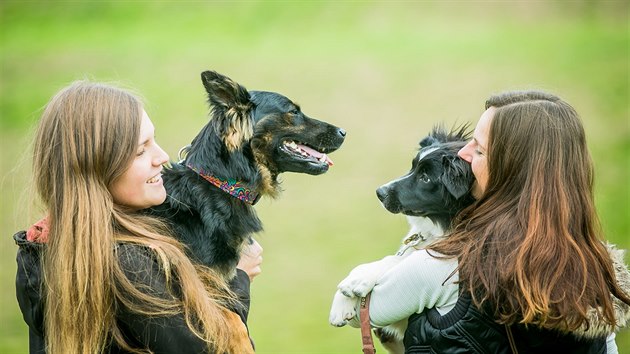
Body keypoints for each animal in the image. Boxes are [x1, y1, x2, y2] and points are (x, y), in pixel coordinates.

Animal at [330, 126, 474, 352]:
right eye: (412, 167)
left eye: (425, 178)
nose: (379, 192)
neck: (437, 229)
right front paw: (341, 304)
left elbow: (394, 260)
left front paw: (357, 280)